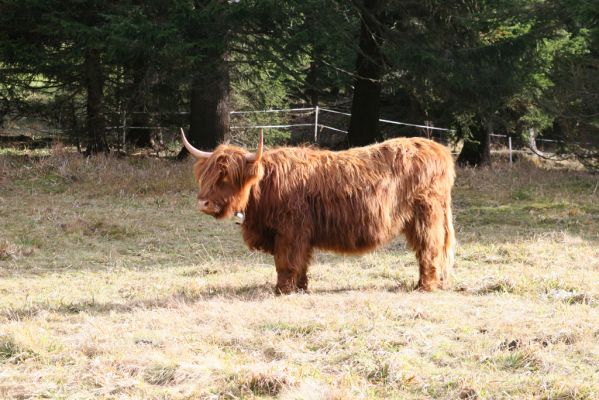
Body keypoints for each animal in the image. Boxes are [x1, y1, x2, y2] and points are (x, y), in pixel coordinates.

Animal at [182, 129, 454, 294]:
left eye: (225, 177)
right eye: (206, 176)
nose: (203, 203)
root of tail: (438, 149)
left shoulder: (290, 231)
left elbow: (285, 262)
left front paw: (282, 290)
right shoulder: (300, 235)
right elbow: (301, 261)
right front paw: (301, 288)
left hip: (427, 216)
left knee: (429, 250)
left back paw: (425, 286)